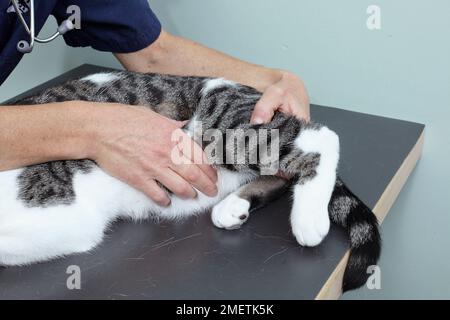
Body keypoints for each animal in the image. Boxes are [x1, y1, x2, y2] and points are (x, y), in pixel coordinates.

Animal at [0, 70, 380, 290]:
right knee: (280, 176)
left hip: (230, 129)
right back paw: (233, 206)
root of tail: (248, 92)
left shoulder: (63, 213)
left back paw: (308, 219)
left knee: (322, 137)